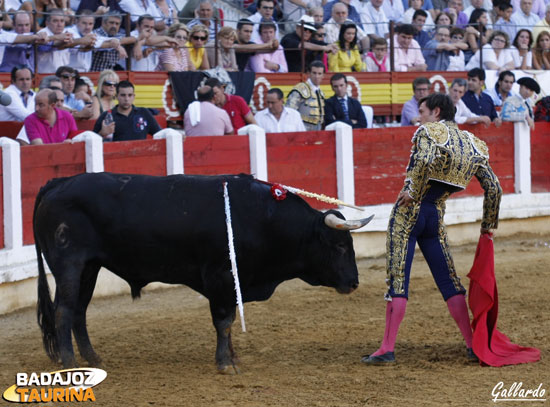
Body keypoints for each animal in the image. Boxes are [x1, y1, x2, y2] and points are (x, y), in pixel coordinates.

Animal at [34, 172, 376, 372]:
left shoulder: (233, 283)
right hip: (69, 264)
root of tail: (56, 183)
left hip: (90, 266)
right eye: (339, 246)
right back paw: (70, 363)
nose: (353, 282)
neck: (261, 218)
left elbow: (228, 322)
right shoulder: (220, 277)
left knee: (79, 311)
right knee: (64, 311)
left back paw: (93, 359)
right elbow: (223, 321)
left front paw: (233, 357)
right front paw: (225, 364)